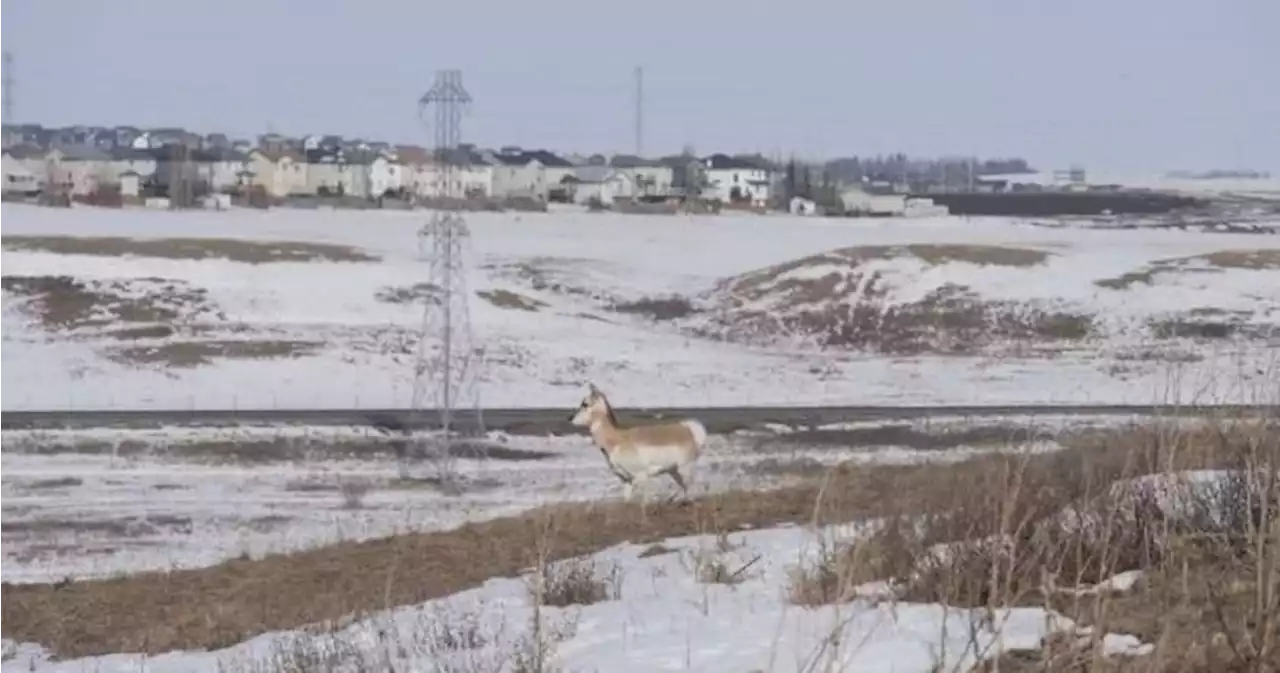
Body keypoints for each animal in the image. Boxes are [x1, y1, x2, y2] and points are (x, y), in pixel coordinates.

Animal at [573, 386, 711, 506]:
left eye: (585, 403)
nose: (570, 419)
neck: (618, 439)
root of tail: (687, 428)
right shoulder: (627, 481)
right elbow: (627, 500)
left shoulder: (641, 477)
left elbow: (645, 501)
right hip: (674, 471)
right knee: (685, 487)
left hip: (684, 469)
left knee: (690, 487)